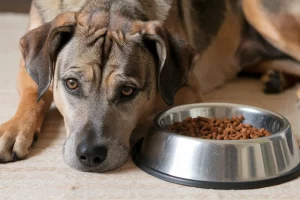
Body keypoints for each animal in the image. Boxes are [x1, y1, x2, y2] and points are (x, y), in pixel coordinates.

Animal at [0, 0, 298, 172]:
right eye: (71, 84)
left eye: (127, 91)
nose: (90, 156)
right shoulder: (29, 66)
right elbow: (35, 94)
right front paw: (13, 130)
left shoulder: (186, 88)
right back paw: (275, 78)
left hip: (260, 13)